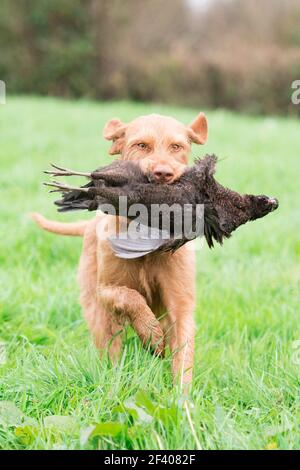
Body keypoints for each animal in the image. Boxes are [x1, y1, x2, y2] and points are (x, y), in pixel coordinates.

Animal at [31, 112, 207, 388]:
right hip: (98, 313)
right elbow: (129, 296)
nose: (163, 174)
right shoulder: (104, 290)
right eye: (141, 145)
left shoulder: (181, 303)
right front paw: (151, 334)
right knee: (110, 347)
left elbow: (183, 354)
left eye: (177, 146)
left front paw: (182, 396)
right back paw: (113, 383)